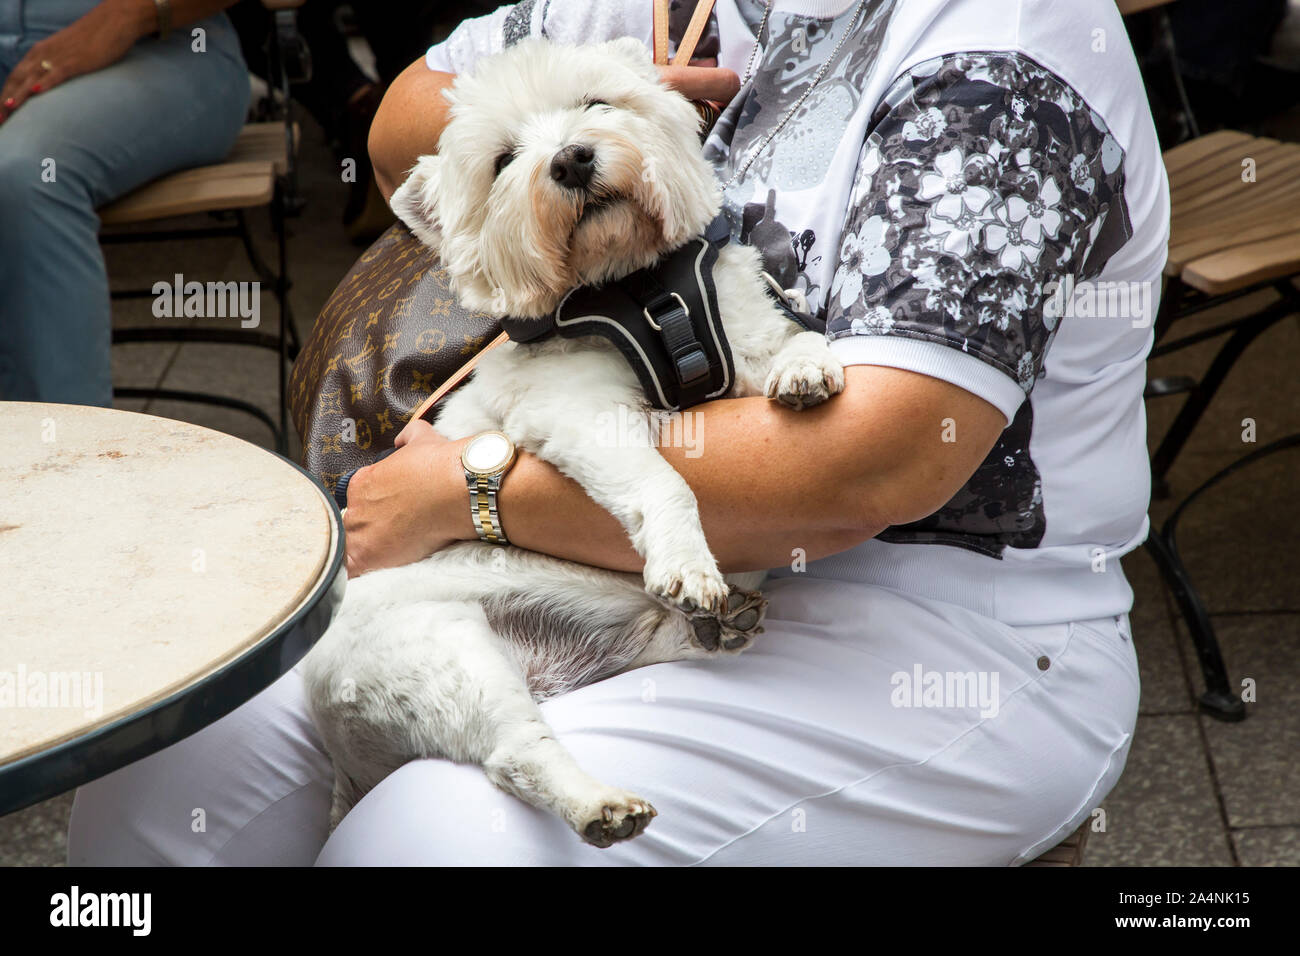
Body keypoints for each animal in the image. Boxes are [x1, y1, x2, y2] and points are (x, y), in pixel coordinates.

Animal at [300, 35, 842, 842]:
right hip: (442, 653)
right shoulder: (577, 412)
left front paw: (807, 366)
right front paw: (688, 563)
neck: (637, 290)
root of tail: (339, 756)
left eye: (595, 103)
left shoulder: (743, 328)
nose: (572, 160)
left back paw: (718, 626)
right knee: (513, 754)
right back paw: (601, 803)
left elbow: (787, 341)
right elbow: (663, 482)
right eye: (503, 159)